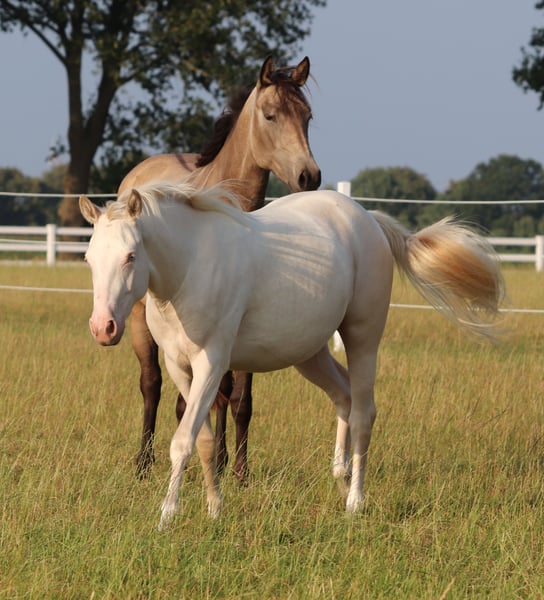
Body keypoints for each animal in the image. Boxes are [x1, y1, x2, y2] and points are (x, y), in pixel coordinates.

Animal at [80, 181, 504, 530]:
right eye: (88, 259)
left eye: (131, 256)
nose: (103, 328)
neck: (190, 269)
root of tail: (369, 220)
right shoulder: (179, 367)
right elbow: (203, 441)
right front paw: (215, 509)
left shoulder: (212, 364)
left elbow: (182, 442)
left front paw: (168, 515)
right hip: (310, 353)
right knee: (343, 397)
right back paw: (340, 478)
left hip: (363, 338)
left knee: (363, 413)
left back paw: (355, 502)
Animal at [118, 56, 321, 481]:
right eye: (270, 115)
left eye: (308, 117)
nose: (309, 176)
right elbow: (192, 397)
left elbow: (239, 398)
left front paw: (239, 470)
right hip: (141, 319)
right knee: (151, 384)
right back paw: (143, 462)